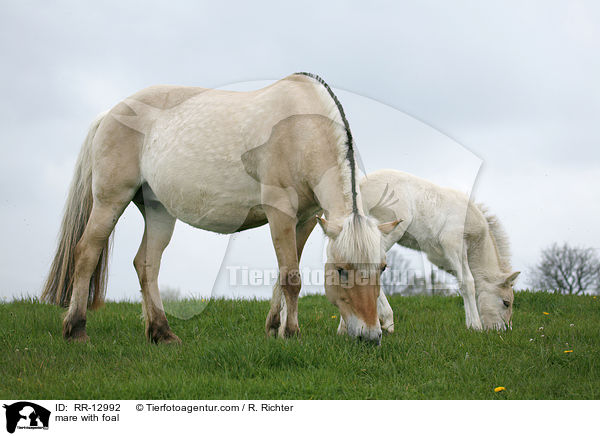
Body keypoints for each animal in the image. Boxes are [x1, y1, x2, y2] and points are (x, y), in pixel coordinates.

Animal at [41, 73, 398, 346]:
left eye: (381, 268)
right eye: (341, 270)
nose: (370, 336)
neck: (301, 129)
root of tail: (111, 113)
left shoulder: (306, 219)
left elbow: (282, 273)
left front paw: (274, 327)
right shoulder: (280, 213)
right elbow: (291, 277)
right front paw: (292, 333)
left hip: (158, 211)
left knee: (146, 264)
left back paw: (162, 333)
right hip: (110, 201)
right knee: (86, 253)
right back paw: (76, 329)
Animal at [340, 169, 516, 332]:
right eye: (506, 302)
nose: (504, 330)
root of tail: (360, 185)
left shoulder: (441, 258)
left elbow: (461, 282)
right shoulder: (453, 242)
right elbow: (468, 282)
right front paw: (476, 326)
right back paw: (386, 319)